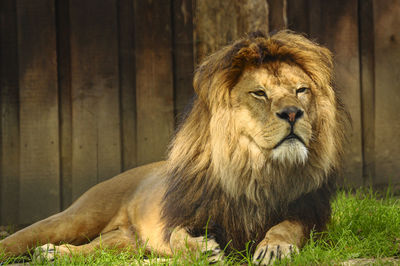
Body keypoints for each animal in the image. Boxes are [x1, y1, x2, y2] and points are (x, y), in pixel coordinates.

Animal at [0, 30, 346, 264]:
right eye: (259, 93)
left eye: (300, 90)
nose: (293, 113)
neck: (254, 169)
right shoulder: (187, 217)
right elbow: (178, 235)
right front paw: (203, 250)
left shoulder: (310, 214)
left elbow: (287, 227)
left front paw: (274, 246)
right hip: (77, 217)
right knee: (21, 237)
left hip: (124, 241)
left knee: (98, 249)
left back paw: (53, 255)